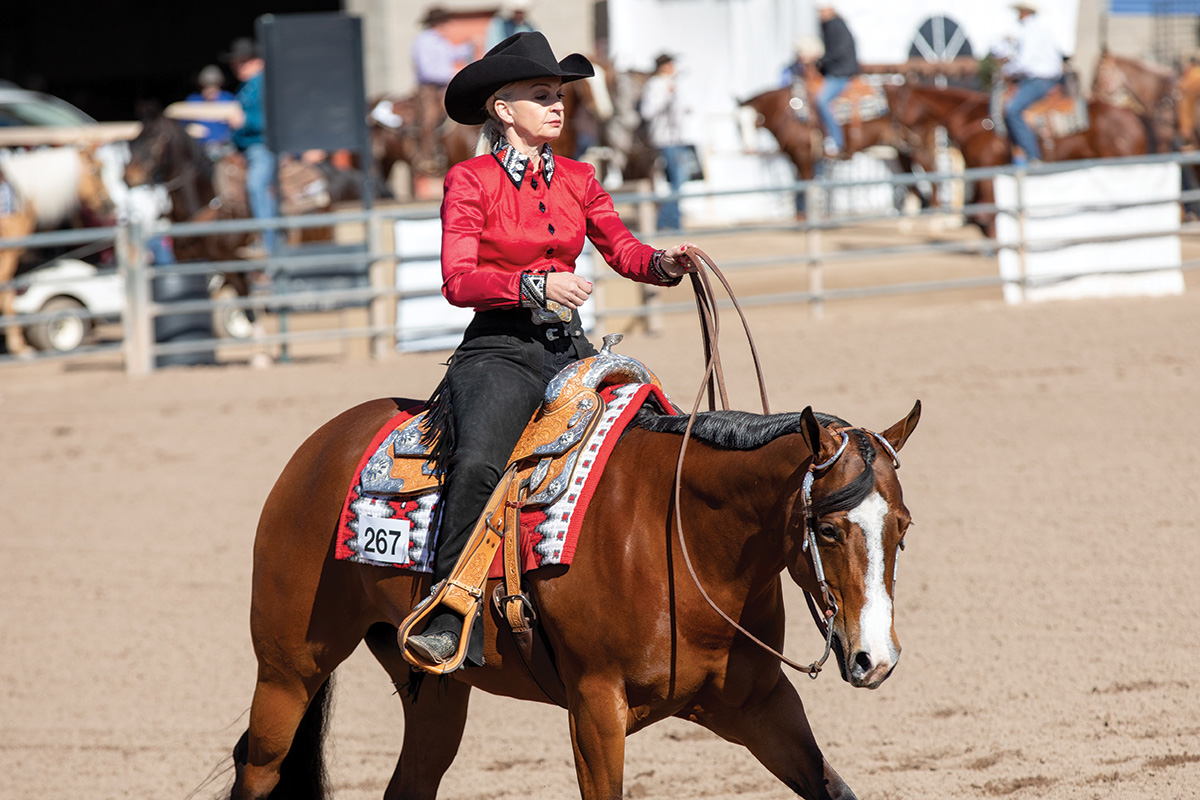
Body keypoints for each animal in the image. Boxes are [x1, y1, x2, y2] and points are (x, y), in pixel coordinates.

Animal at [226, 391, 916, 796]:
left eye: (903, 527)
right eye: (828, 529)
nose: (875, 660)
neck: (682, 540)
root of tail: (319, 448)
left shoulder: (759, 706)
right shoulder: (595, 708)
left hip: (432, 691)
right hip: (289, 669)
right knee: (258, 763)